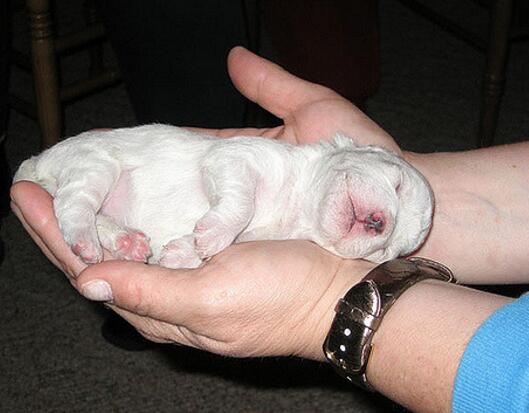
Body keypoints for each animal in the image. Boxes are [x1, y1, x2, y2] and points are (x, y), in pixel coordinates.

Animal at [14, 125, 433, 268]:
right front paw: (209, 236)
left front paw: (183, 251)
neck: (297, 202)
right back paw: (87, 242)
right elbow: (240, 204)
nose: (379, 222)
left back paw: (127, 242)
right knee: (73, 204)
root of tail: (36, 162)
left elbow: (230, 239)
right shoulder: (235, 158)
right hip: (94, 163)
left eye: (386, 251)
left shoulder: (257, 235)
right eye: (396, 183)